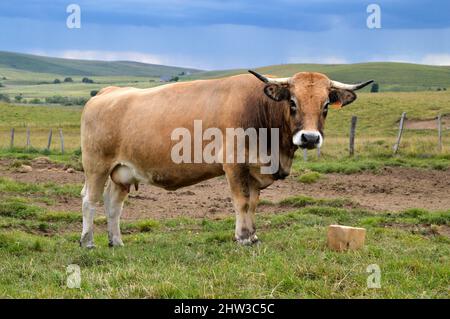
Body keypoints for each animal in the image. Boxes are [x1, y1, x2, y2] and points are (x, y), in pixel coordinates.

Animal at [80, 71, 372, 249]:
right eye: (292, 102)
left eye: (325, 105)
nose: (310, 138)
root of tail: (107, 92)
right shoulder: (235, 166)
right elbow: (241, 202)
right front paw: (242, 238)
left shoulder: (253, 169)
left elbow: (253, 204)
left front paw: (253, 235)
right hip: (96, 166)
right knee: (90, 200)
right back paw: (88, 241)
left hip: (122, 172)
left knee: (113, 204)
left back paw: (116, 241)